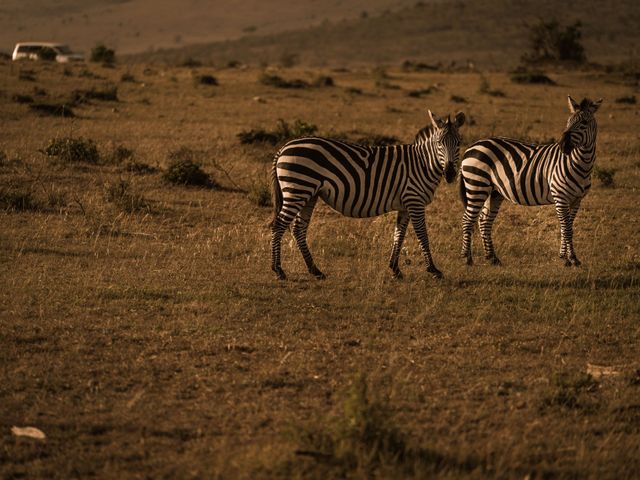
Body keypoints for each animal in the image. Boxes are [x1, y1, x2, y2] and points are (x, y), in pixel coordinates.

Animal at [270, 110, 464, 280]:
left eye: (459, 143)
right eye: (439, 143)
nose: (450, 173)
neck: (423, 164)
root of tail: (284, 147)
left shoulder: (405, 205)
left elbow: (399, 235)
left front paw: (395, 269)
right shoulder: (414, 201)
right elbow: (422, 234)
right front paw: (433, 269)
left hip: (309, 194)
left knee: (298, 229)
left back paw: (315, 270)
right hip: (298, 189)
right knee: (278, 225)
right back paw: (278, 270)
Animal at [460, 94, 600, 266]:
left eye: (584, 123)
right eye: (568, 122)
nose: (563, 145)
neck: (581, 164)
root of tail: (471, 146)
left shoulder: (576, 199)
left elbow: (567, 227)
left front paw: (566, 257)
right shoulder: (560, 196)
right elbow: (567, 228)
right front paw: (571, 258)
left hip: (494, 192)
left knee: (484, 221)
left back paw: (492, 258)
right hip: (477, 185)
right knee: (468, 220)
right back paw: (467, 258)